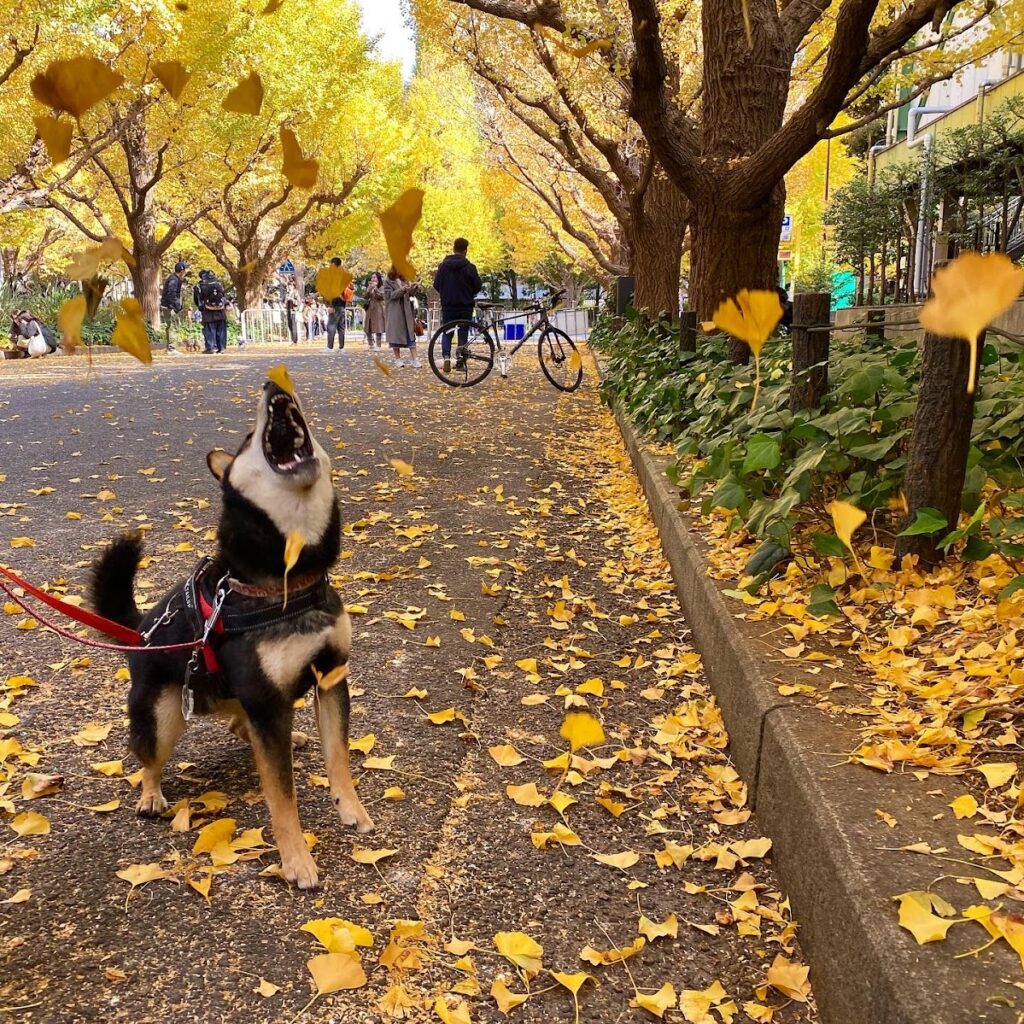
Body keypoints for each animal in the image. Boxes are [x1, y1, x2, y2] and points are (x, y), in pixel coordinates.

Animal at [89, 378, 372, 888]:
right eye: (245, 440)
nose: (273, 382)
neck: (287, 578)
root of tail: (140, 630)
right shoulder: (266, 699)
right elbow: (281, 796)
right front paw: (297, 861)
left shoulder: (330, 677)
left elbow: (338, 757)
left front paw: (352, 810)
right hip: (164, 715)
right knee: (147, 757)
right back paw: (150, 795)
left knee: (240, 724)